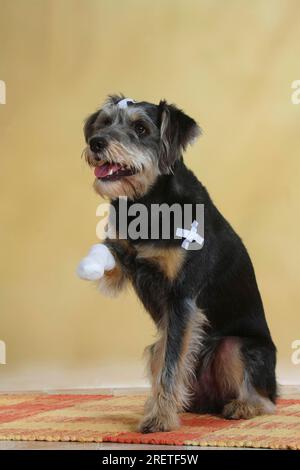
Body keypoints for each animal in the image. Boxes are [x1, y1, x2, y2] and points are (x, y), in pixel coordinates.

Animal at [77, 94, 276, 434]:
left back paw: (242, 406)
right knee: (162, 359)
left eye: (141, 128)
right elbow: (109, 253)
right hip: (156, 348)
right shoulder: (126, 262)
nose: (96, 142)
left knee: (266, 400)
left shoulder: (182, 298)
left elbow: (170, 368)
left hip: (234, 348)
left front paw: (160, 419)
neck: (148, 201)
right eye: (104, 122)